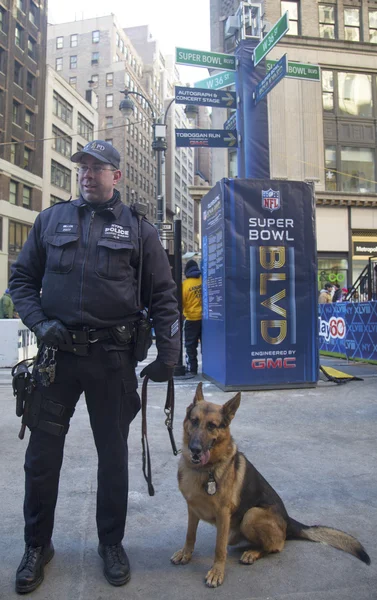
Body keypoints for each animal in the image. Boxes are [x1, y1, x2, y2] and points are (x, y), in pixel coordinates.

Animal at [171, 384, 370, 584]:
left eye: (211, 426)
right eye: (194, 421)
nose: (195, 449)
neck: (203, 469)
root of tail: (289, 521)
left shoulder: (223, 513)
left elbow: (219, 548)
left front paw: (217, 571)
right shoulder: (192, 509)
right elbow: (190, 535)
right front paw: (186, 554)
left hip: (251, 515)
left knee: (277, 545)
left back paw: (252, 553)